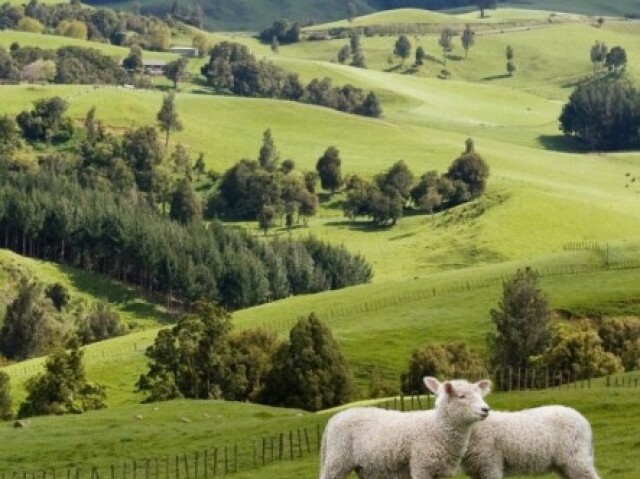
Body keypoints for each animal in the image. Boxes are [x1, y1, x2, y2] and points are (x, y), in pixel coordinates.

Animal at [318, 378, 490, 479]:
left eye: (481, 395)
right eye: (461, 396)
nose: (486, 409)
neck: (437, 428)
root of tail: (334, 418)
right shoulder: (421, 466)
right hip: (337, 460)